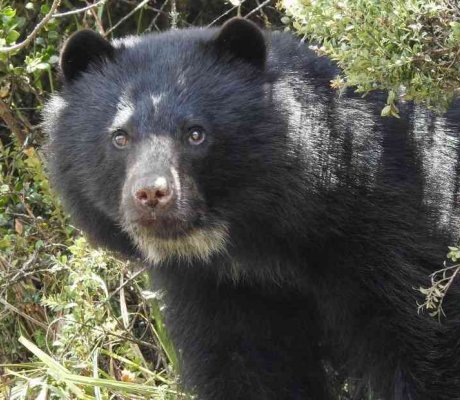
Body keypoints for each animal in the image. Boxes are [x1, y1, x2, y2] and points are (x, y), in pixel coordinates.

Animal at [44, 17, 460, 398]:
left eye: (196, 133)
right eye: (120, 137)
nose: (151, 194)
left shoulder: (395, 229)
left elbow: (421, 346)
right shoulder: (216, 286)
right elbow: (246, 366)